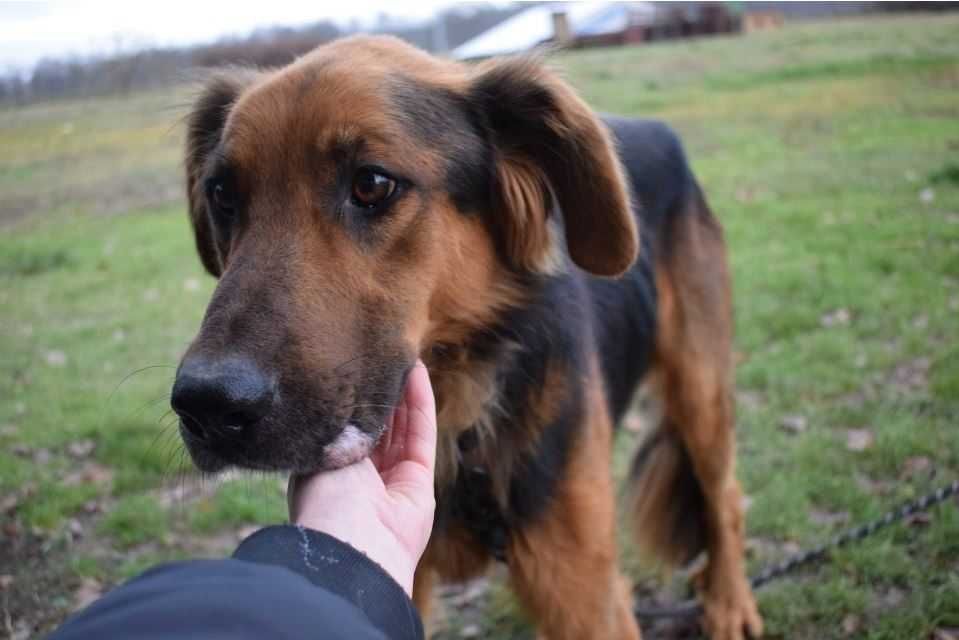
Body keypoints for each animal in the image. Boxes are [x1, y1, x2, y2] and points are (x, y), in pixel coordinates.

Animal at [171, 36, 764, 640]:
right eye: (222, 195)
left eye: (371, 184)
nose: (206, 406)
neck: (463, 415)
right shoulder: (398, 578)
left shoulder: (584, 594)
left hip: (700, 390)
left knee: (725, 498)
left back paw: (729, 602)